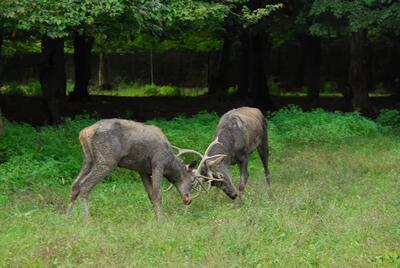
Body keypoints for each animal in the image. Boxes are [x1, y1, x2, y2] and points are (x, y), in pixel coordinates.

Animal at [67, 119, 198, 222]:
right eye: (192, 180)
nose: (188, 199)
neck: (170, 165)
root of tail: (85, 132)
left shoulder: (142, 170)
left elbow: (150, 195)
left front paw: (155, 218)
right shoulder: (158, 164)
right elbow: (157, 195)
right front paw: (161, 221)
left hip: (88, 159)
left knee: (75, 185)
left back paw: (67, 218)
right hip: (107, 161)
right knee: (85, 185)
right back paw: (86, 220)